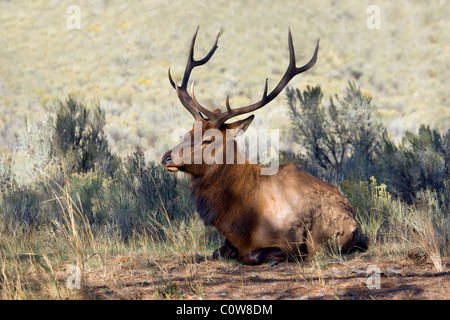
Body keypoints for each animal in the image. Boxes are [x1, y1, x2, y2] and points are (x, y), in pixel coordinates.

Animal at [162, 26, 358, 264]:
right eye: (188, 132)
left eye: (207, 139)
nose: (166, 157)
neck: (240, 219)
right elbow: (218, 251)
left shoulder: (293, 241)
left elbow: (252, 255)